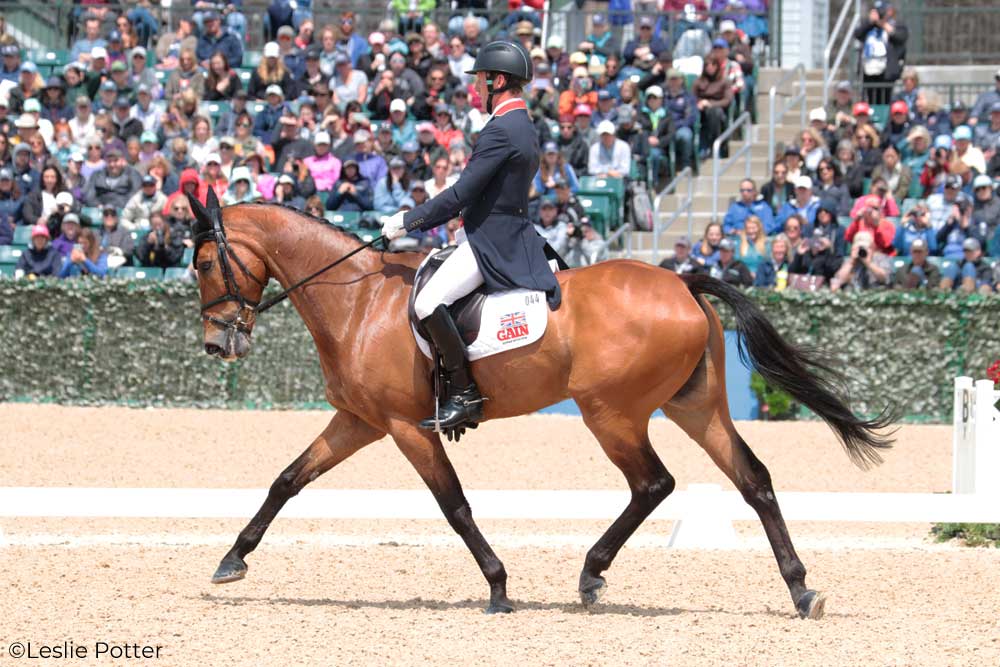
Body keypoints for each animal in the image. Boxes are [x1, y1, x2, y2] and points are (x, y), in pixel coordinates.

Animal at [191, 192, 896, 620]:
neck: (358, 299)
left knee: (653, 483)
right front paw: (232, 561)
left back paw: (591, 574)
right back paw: (801, 589)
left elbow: (453, 505)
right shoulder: (359, 421)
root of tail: (681, 280)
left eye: (200, 261)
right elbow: (287, 480)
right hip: (695, 407)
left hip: (611, 412)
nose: (216, 344)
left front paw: (499, 587)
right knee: (754, 480)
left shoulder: (403, 427)